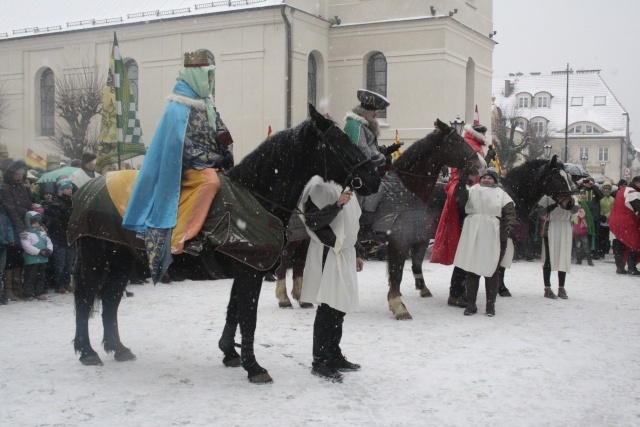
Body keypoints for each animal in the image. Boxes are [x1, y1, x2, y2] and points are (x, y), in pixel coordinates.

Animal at [70, 106, 380, 384]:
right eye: (340, 140)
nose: (374, 178)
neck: (258, 196)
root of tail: (87, 188)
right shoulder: (251, 272)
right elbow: (248, 317)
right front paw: (254, 367)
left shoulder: (245, 269)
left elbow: (233, 311)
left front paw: (230, 353)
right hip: (95, 261)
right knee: (85, 299)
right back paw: (87, 351)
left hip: (121, 262)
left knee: (110, 299)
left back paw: (117, 348)